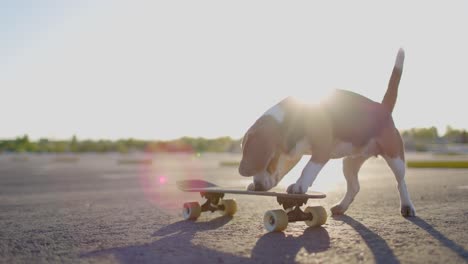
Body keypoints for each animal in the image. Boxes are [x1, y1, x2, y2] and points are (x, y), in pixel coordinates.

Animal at [239, 49, 414, 217]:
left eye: (270, 161)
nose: (258, 187)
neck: (293, 118)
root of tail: (383, 108)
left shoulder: (323, 150)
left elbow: (308, 168)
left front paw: (299, 185)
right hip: (349, 163)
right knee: (355, 187)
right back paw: (341, 207)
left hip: (395, 157)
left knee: (401, 182)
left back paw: (407, 206)